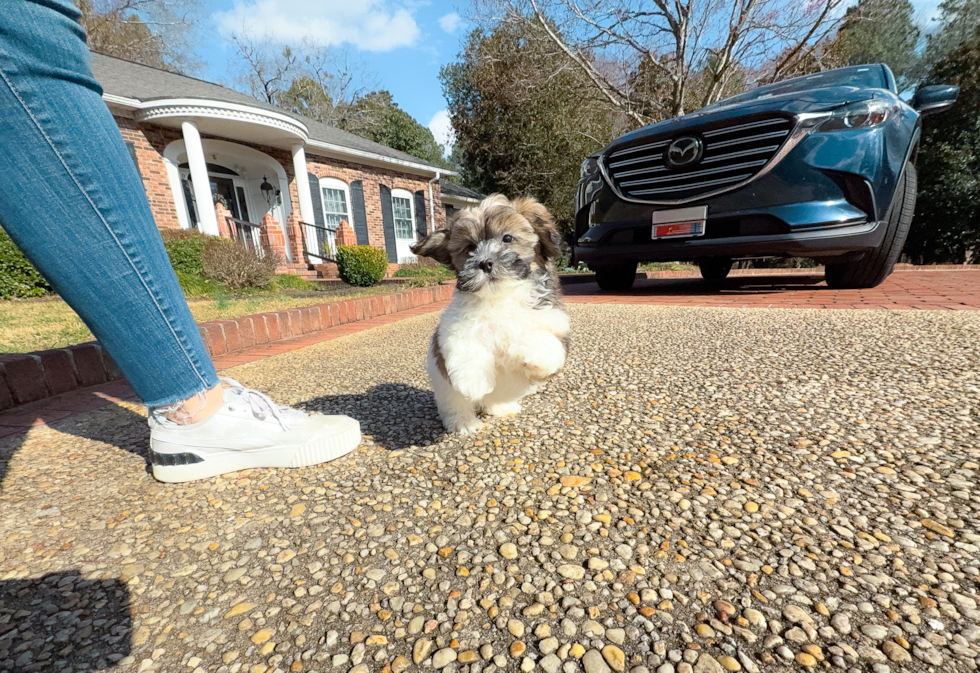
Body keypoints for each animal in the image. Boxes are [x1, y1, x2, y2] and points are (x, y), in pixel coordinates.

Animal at [410, 194, 572, 436]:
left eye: (507, 238)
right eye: (469, 247)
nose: (485, 263)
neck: (500, 297)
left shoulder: (554, 323)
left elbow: (545, 345)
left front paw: (522, 347)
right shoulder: (454, 325)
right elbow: (465, 345)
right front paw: (473, 381)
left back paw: (500, 407)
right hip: (443, 386)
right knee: (455, 404)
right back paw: (463, 421)